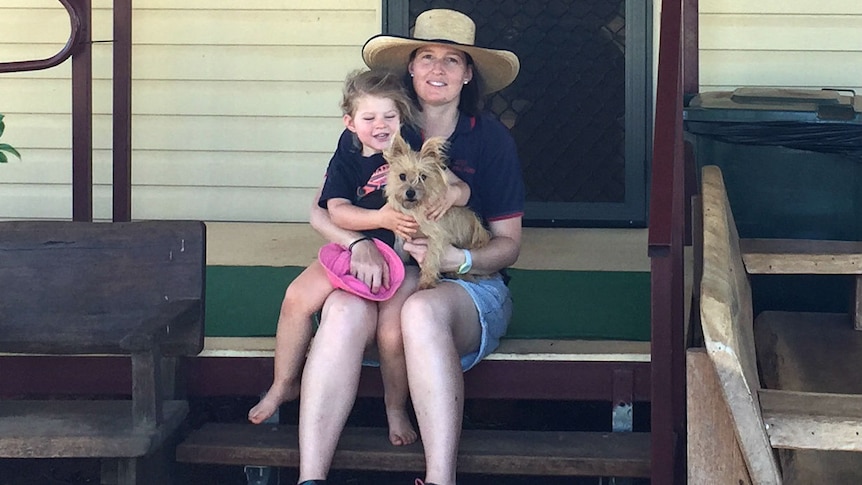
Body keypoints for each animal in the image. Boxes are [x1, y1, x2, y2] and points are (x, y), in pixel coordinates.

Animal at [386, 132, 492, 288]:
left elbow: (430, 260)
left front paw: (426, 282)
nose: (410, 193)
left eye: (423, 177)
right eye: (402, 176)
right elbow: (399, 255)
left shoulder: (436, 238)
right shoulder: (402, 238)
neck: (416, 210)